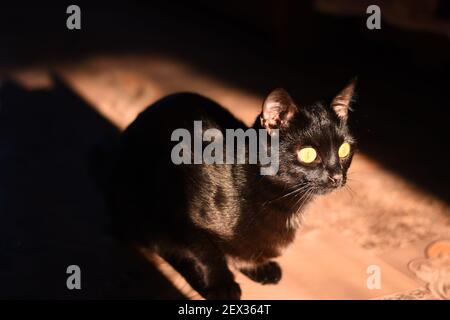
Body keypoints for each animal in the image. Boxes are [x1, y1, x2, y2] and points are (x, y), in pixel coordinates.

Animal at [107, 80, 356, 300]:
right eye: (308, 154)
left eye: (344, 149)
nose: (336, 176)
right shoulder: (181, 206)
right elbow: (207, 252)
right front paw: (222, 284)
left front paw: (258, 266)